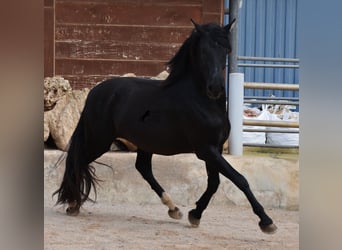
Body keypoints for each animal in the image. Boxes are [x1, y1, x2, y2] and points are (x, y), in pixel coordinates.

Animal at [54, 19, 278, 234]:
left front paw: (195, 215)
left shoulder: (213, 150)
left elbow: (214, 183)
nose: (215, 88)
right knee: (78, 162)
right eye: (203, 51)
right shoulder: (206, 150)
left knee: (143, 168)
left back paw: (174, 208)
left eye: (226, 49)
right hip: (99, 141)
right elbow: (240, 179)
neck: (203, 102)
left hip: (143, 143)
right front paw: (267, 222)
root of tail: (95, 92)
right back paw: (73, 204)